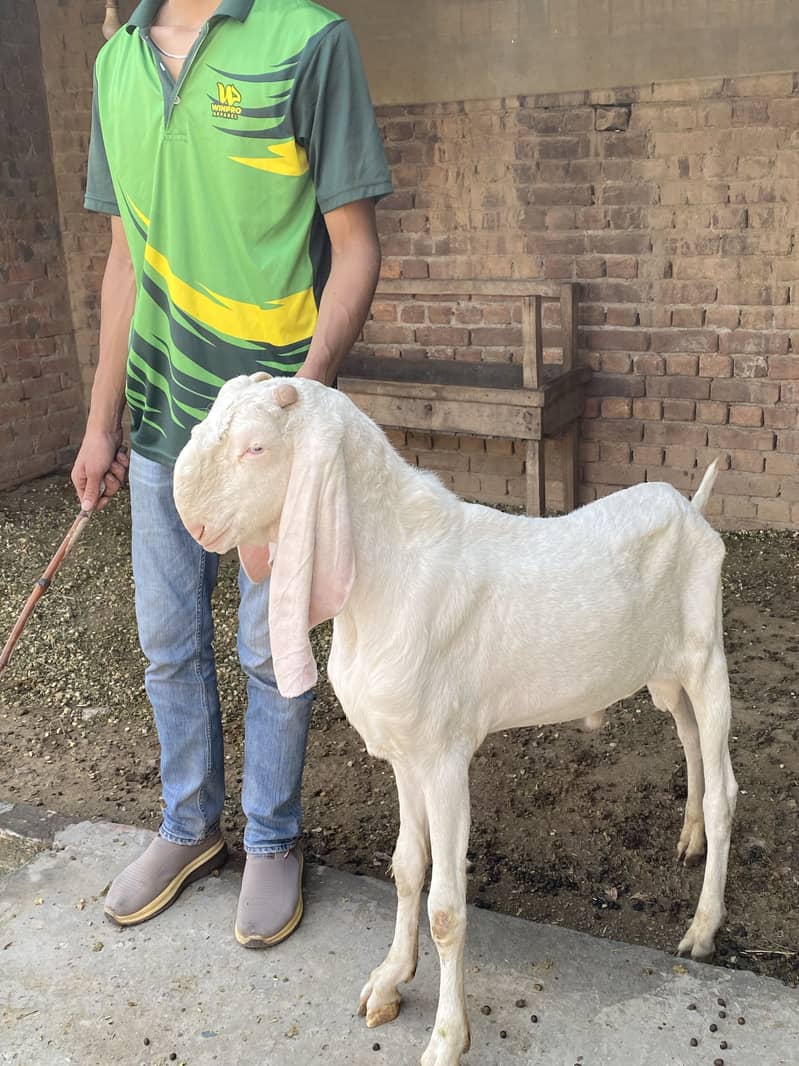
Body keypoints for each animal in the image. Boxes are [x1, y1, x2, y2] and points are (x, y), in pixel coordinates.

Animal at [173, 373, 737, 1066]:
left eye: (255, 448)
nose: (190, 518)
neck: (390, 577)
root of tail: (693, 510)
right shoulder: (405, 752)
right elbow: (406, 869)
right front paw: (390, 979)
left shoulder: (444, 758)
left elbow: (445, 906)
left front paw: (446, 1037)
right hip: (664, 674)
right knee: (688, 737)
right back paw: (689, 837)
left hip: (707, 658)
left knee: (724, 787)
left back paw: (702, 927)